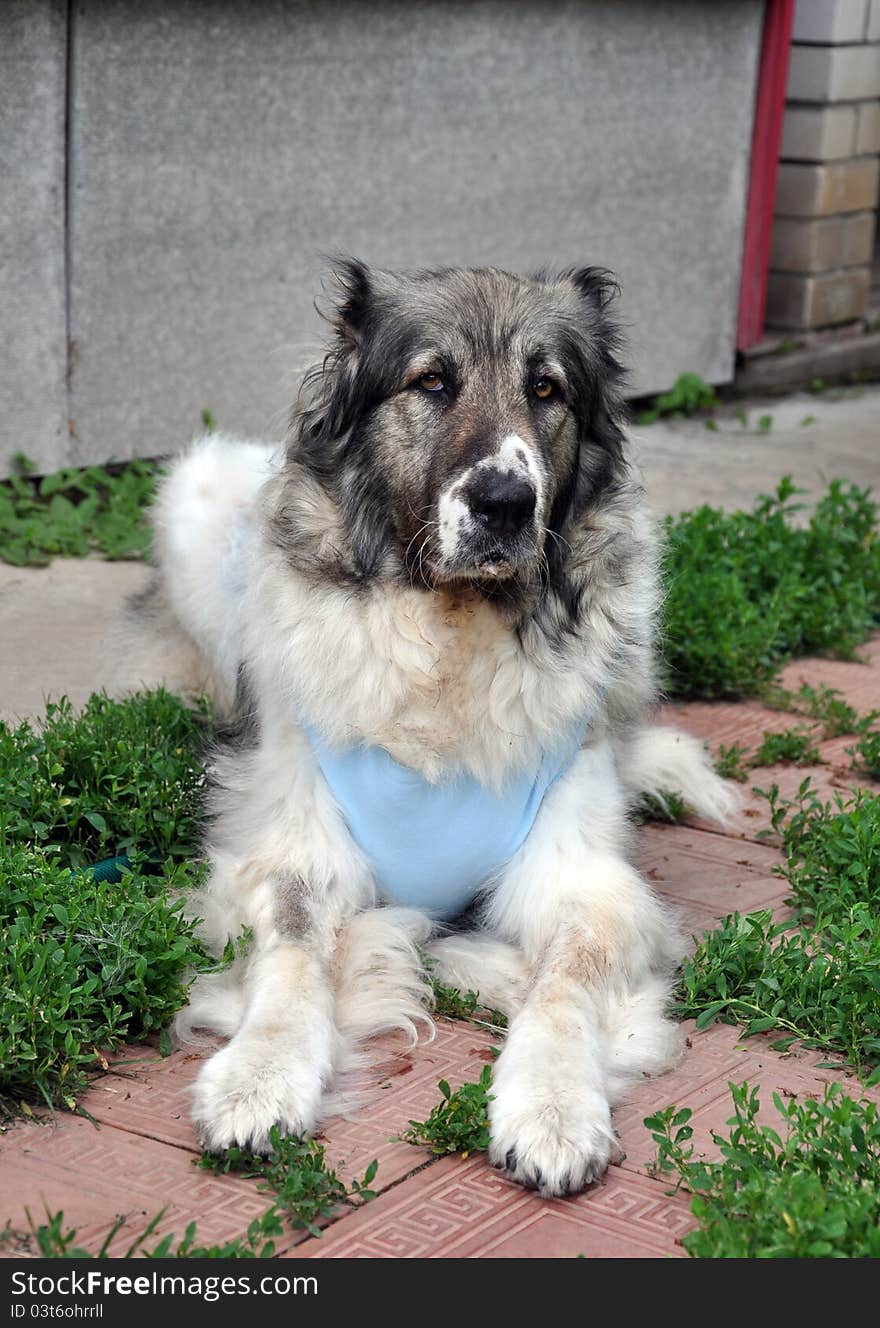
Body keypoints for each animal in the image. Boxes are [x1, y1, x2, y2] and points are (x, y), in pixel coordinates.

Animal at [149, 258, 737, 1195]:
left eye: (546, 389)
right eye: (431, 382)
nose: (505, 503)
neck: (449, 637)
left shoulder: (583, 879)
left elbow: (568, 976)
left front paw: (552, 1104)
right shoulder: (294, 851)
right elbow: (292, 951)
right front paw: (259, 1076)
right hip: (197, 497)